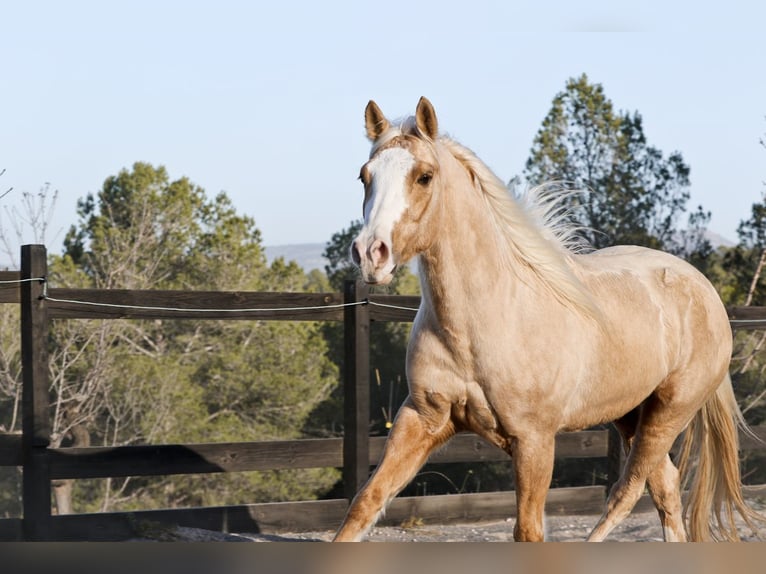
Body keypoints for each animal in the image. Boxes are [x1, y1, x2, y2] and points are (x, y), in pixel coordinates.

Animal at [340, 97, 764, 544]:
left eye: (424, 176)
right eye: (365, 176)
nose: (371, 253)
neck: (483, 321)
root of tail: (706, 291)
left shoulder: (534, 440)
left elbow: (529, 530)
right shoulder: (421, 418)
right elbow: (364, 504)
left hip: (670, 411)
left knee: (627, 492)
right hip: (630, 413)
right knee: (664, 486)